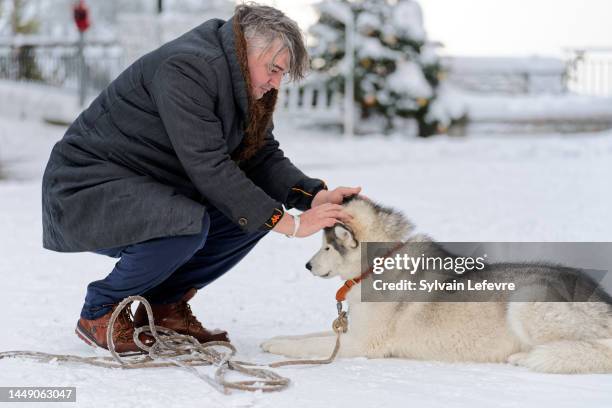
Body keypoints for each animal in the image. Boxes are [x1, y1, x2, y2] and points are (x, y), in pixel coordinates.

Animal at [260, 197, 612, 372]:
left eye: (327, 247)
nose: (307, 266)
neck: (380, 260)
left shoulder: (362, 343)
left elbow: (309, 344)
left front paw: (278, 347)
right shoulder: (350, 332)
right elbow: (308, 336)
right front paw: (273, 340)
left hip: (525, 300)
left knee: (598, 351)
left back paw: (530, 358)